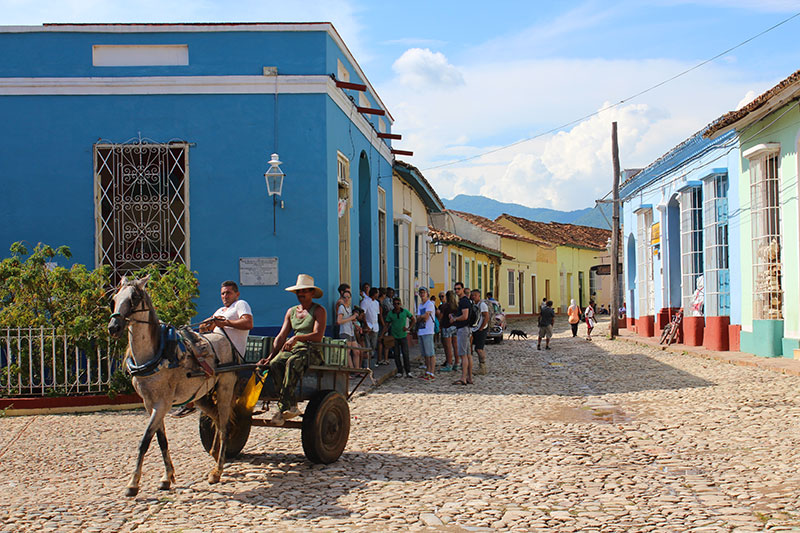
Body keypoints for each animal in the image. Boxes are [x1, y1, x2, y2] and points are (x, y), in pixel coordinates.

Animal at [111, 276, 239, 496]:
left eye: (134, 298)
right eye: (114, 298)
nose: (114, 326)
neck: (156, 354)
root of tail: (224, 337)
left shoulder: (162, 403)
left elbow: (145, 440)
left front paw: (133, 483)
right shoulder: (149, 403)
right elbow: (161, 440)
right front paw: (166, 477)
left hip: (225, 388)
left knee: (224, 425)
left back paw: (217, 471)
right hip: (201, 395)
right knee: (215, 418)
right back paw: (215, 457)